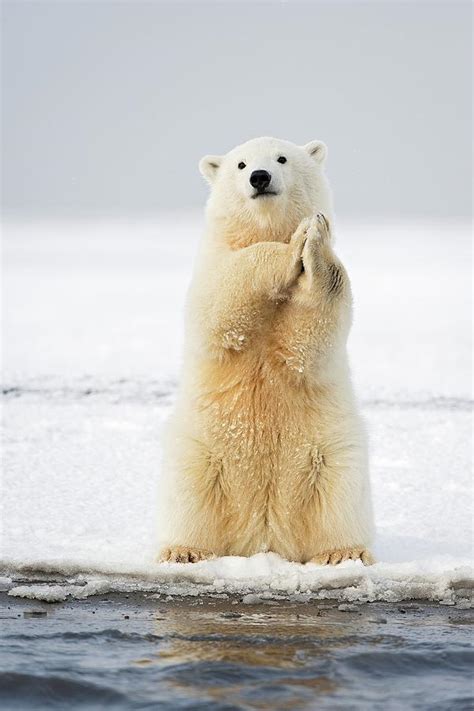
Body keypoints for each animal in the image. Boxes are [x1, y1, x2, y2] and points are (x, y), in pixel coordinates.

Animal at [158, 136, 374, 564]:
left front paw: (314, 241)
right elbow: (222, 299)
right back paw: (183, 550)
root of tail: (264, 537)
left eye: (282, 158)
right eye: (241, 164)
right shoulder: (213, 265)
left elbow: (308, 340)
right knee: (190, 495)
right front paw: (291, 246)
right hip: (201, 452)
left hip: (332, 452)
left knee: (339, 497)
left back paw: (342, 553)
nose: (260, 176)